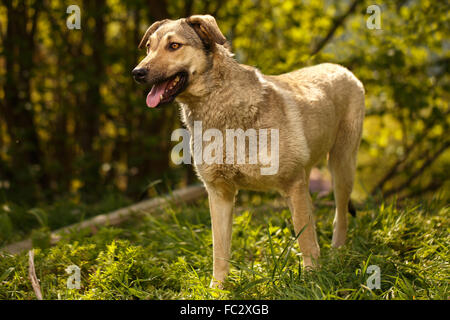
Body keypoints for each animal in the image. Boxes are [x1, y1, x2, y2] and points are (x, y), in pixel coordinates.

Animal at [132, 14, 364, 288]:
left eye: (174, 46)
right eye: (149, 48)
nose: (137, 73)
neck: (219, 106)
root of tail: (342, 68)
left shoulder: (293, 183)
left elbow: (306, 240)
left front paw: (311, 280)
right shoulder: (219, 193)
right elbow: (220, 250)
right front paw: (217, 289)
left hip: (341, 166)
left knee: (340, 216)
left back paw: (337, 255)